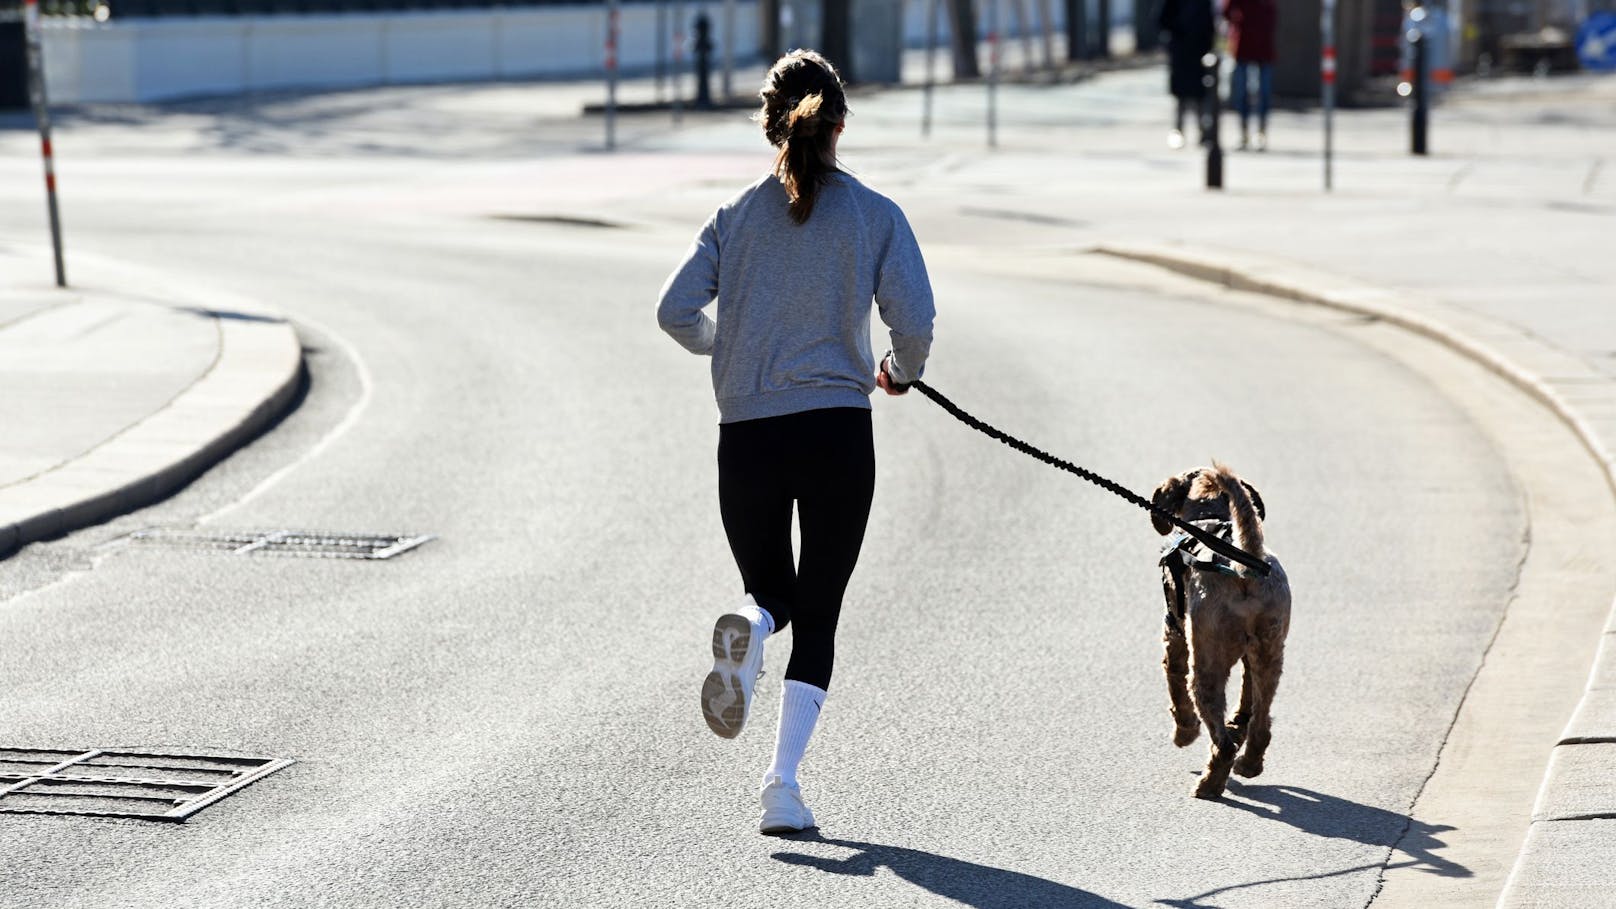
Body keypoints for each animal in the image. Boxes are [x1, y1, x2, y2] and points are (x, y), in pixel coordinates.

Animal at [1150, 462, 1286, 795]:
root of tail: (1245, 569)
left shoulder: (1174, 637)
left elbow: (1176, 693)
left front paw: (1185, 733)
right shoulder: (1251, 658)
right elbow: (1246, 704)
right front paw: (1236, 727)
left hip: (1206, 663)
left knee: (1221, 740)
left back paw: (1209, 785)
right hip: (1270, 653)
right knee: (1260, 725)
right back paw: (1248, 765)